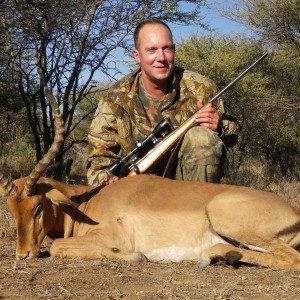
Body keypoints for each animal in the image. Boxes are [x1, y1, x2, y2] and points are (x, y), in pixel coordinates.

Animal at [0, 89, 300, 270]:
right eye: (11, 210)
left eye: (38, 207)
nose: (22, 254)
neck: (86, 204)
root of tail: (293, 211)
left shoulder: (110, 236)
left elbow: (57, 246)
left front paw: (135, 256)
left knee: (292, 259)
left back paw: (213, 255)